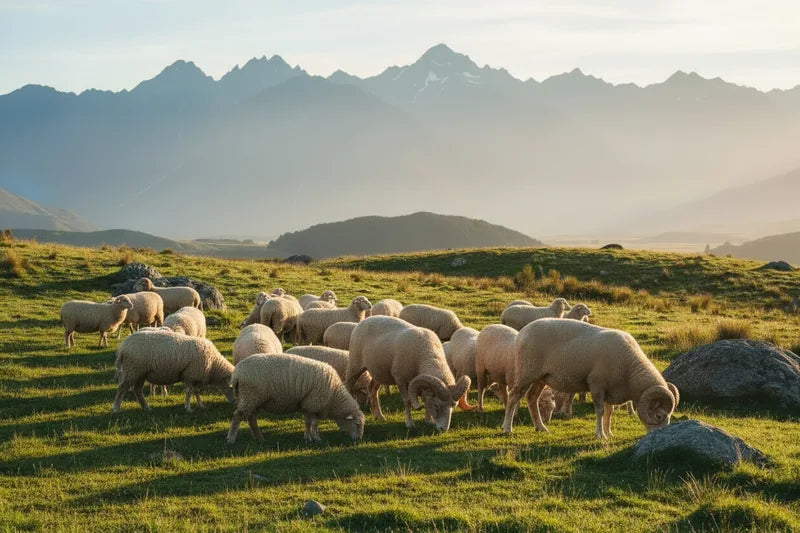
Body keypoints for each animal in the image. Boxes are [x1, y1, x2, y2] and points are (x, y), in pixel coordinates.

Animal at [226, 353, 365, 443]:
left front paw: (310, 437)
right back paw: (231, 439)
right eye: (357, 424)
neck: (334, 396)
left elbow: (309, 423)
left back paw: (259, 438)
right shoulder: (312, 404)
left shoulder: (309, 406)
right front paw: (314, 439)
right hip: (250, 396)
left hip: (253, 399)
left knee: (251, 418)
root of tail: (236, 373)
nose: (359, 439)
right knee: (237, 416)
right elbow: (312, 423)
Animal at [502, 319, 679, 439]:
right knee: (514, 396)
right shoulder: (597, 385)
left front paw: (609, 433)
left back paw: (541, 427)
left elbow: (609, 412)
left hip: (541, 377)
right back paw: (507, 428)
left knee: (531, 398)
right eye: (659, 416)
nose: (659, 437)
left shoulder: (611, 390)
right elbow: (600, 411)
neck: (629, 369)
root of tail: (522, 332)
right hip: (527, 371)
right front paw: (600, 435)